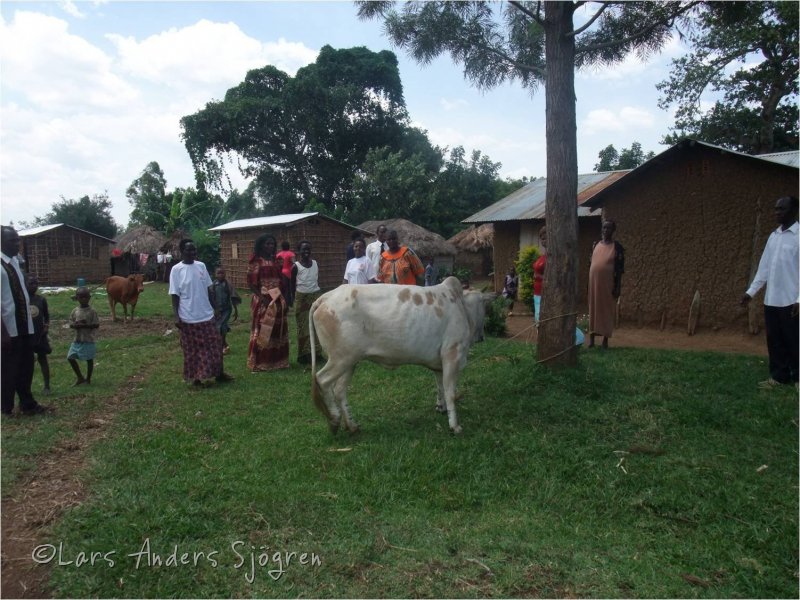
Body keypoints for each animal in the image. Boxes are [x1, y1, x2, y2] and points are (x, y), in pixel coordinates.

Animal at [308, 274, 488, 434]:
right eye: (483, 305)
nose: (482, 337)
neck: (462, 307)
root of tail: (325, 297)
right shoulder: (452, 354)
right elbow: (450, 392)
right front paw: (455, 426)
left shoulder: (439, 364)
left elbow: (440, 387)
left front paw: (440, 407)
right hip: (340, 359)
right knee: (322, 380)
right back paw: (334, 420)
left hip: (350, 361)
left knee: (339, 390)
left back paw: (352, 426)